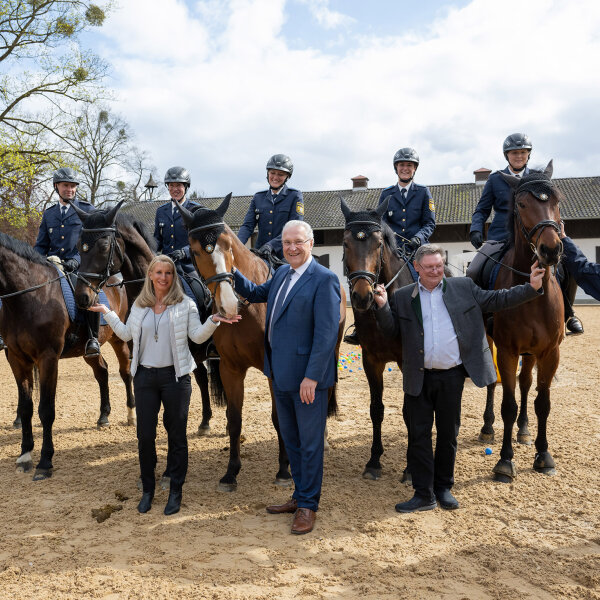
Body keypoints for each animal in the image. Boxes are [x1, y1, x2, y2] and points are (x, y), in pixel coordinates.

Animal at [0, 227, 132, 480]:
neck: (28, 298)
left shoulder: (48, 358)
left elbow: (46, 410)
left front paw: (45, 462)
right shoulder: (17, 359)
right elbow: (26, 407)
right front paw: (25, 455)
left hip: (119, 339)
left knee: (125, 372)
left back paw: (131, 414)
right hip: (88, 350)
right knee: (102, 371)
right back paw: (103, 416)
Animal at [340, 199, 414, 480]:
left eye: (379, 243)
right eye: (345, 242)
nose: (362, 297)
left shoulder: (407, 361)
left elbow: (410, 411)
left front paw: (411, 467)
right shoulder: (371, 360)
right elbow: (376, 409)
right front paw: (373, 461)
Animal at [482, 162, 564, 486]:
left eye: (557, 201)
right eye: (521, 204)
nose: (550, 250)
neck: (531, 293)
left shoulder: (549, 353)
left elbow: (543, 402)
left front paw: (543, 455)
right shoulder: (506, 350)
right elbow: (508, 404)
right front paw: (505, 462)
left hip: (531, 354)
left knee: (526, 383)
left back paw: (525, 430)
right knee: (494, 384)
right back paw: (487, 427)